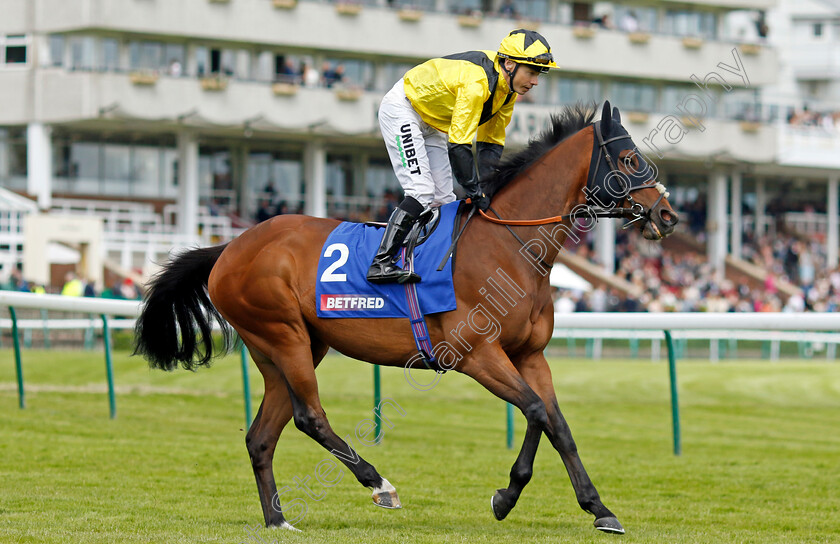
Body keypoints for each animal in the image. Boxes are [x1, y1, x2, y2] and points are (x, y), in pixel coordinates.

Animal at [135, 100, 680, 532]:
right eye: (629, 159)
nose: (668, 216)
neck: (510, 245)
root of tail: (230, 247)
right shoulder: (476, 355)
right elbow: (536, 411)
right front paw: (506, 497)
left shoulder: (529, 355)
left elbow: (556, 423)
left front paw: (597, 508)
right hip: (282, 334)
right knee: (309, 416)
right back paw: (379, 484)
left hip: (288, 348)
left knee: (262, 436)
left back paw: (277, 519)